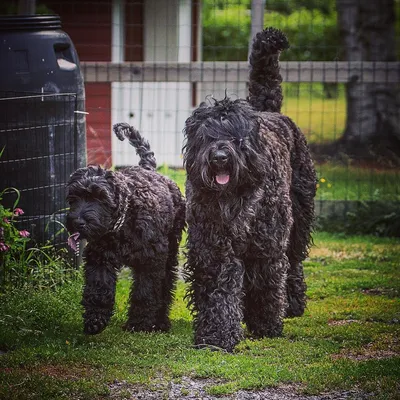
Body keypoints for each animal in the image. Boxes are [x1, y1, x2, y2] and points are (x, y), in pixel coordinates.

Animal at [66, 123, 185, 336]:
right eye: (73, 198)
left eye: (100, 197)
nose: (78, 222)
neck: (122, 223)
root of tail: (149, 169)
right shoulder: (100, 258)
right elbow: (99, 289)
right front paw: (95, 319)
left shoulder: (150, 261)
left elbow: (145, 292)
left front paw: (139, 323)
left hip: (171, 251)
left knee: (166, 284)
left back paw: (161, 322)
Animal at [183, 28, 318, 352]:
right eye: (207, 136)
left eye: (236, 136)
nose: (220, 157)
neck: (234, 200)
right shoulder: (212, 248)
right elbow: (219, 290)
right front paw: (216, 335)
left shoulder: (265, 247)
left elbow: (266, 282)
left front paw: (266, 324)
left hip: (300, 220)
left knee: (294, 262)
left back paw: (292, 303)